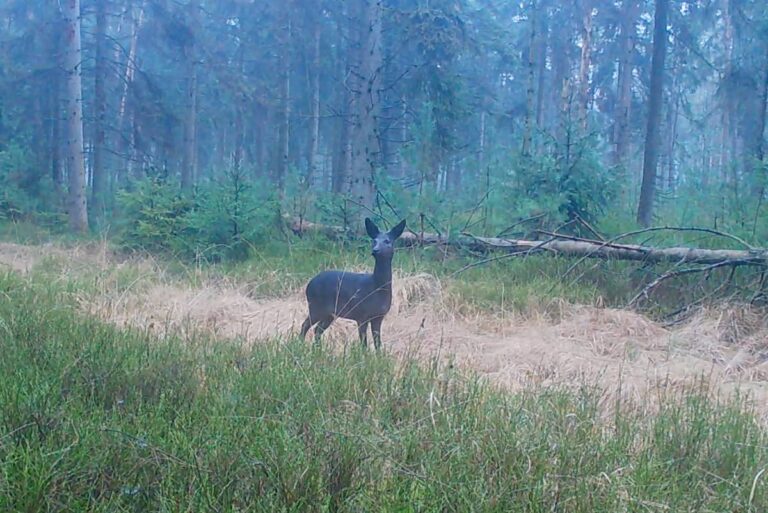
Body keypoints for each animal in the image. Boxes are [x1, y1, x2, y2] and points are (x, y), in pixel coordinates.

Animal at [299, 217, 407, 349]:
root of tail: (308, 285)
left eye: (387, 241)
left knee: (317, 329)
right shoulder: (361, 314)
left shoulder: (378, 316)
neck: (377, 287)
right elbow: (363, 343)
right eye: (374, 240)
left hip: (329, 313)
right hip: (316, 306)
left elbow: (377, 343)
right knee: (305, 325)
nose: (375, 250)